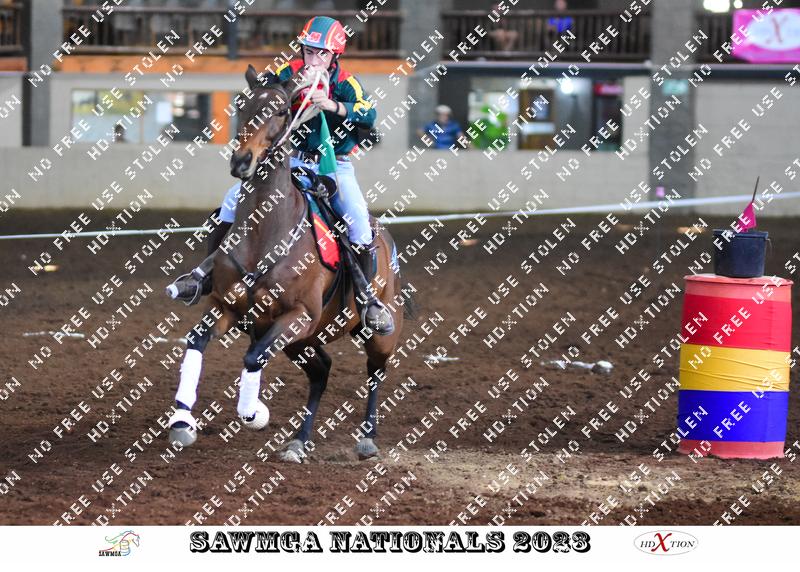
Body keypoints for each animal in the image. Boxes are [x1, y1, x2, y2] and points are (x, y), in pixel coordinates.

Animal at [167, 65, 414, 462]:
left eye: (283, 110)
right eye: (243, 104)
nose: (242, 162)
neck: (266, 232)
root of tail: (387, 241)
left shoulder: (298, 314)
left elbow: (252, 357)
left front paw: (253, 412)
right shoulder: (226, 306)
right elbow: (197, 341)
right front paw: (181, 421)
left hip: (376, 334)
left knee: (375, 372)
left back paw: (367, 438)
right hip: (303, 341)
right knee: (321, 372)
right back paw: (300, 440)